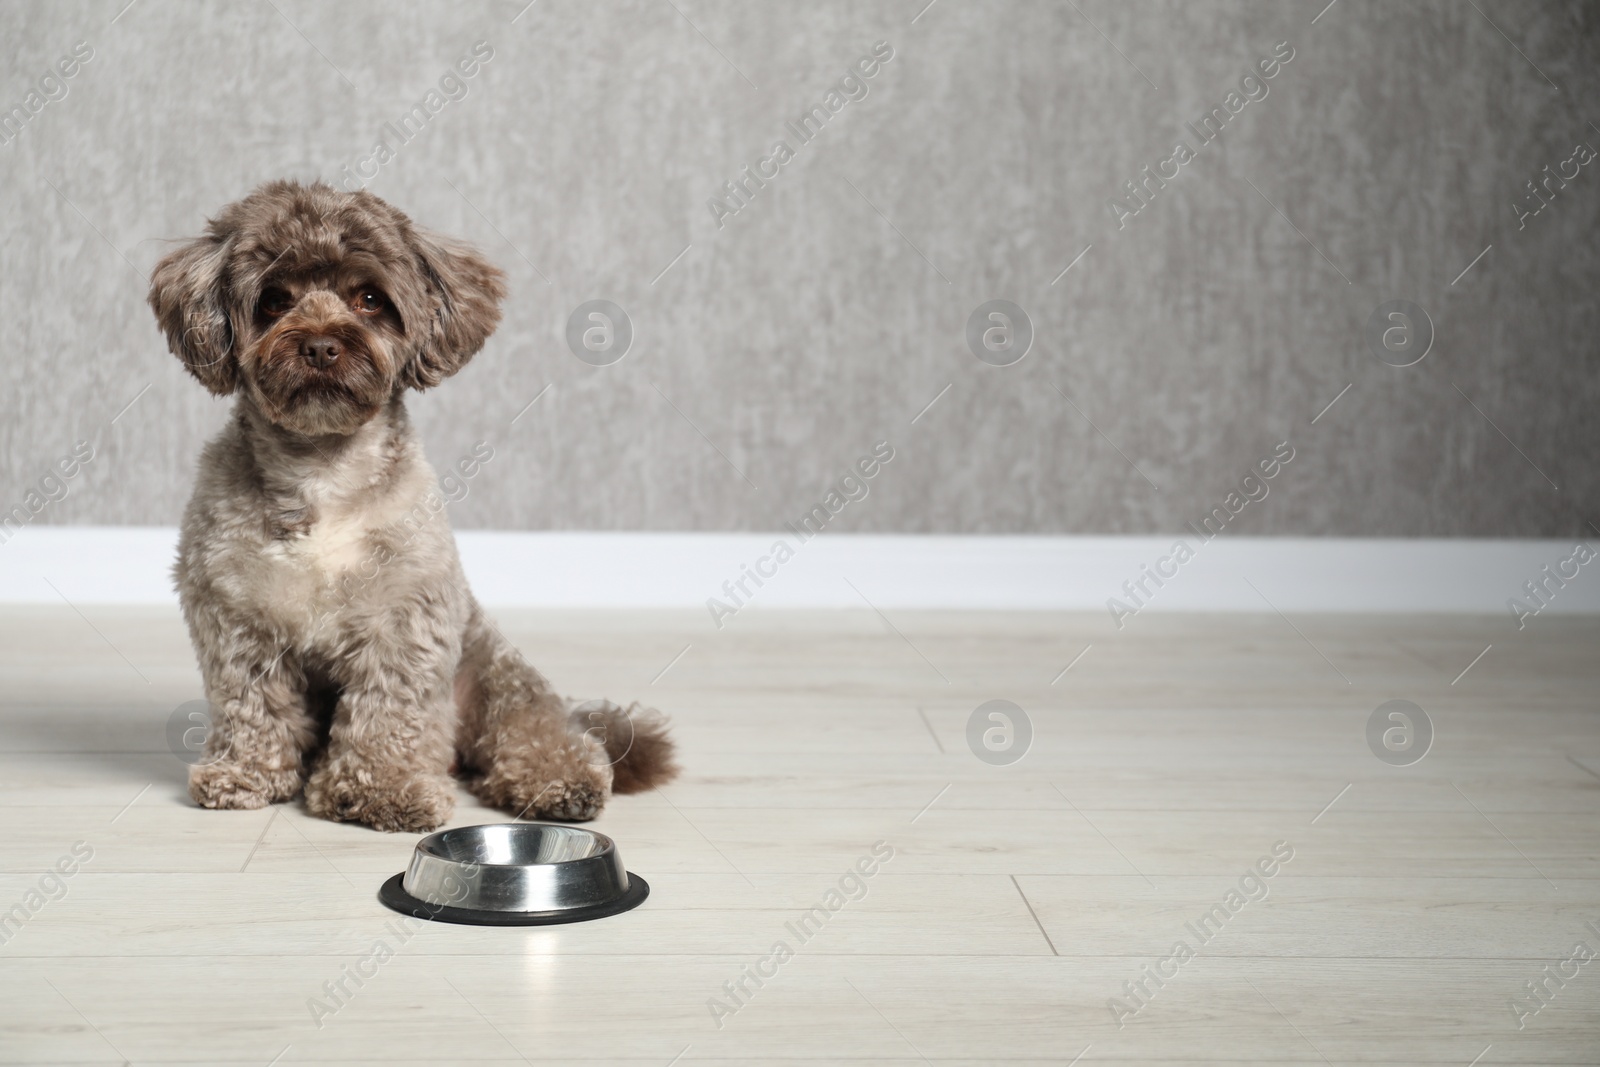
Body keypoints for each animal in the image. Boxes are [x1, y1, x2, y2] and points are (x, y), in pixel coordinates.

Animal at [147, 179, 678, 831]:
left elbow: (389, 714)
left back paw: (556, 780)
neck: (323, 471)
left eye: (370, 298)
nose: (320, 345)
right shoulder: (238, 617)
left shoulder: (402, 621)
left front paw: (383, 789)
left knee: (537, 729)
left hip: (496, 678)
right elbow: (252, 705)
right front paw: (246, 773)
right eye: (272, 300)